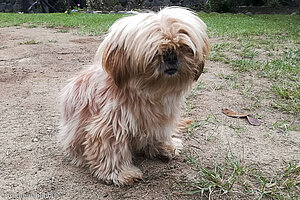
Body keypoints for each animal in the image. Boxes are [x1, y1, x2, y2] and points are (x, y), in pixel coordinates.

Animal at [58, 6, 209, 186]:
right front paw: (121, 173)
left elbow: (159, 134)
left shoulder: (161, 120)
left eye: (183, 46)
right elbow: (111, 149)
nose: (171, 56)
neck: (149, 92)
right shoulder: (111, 125)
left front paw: (165, 146)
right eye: (156, 51)